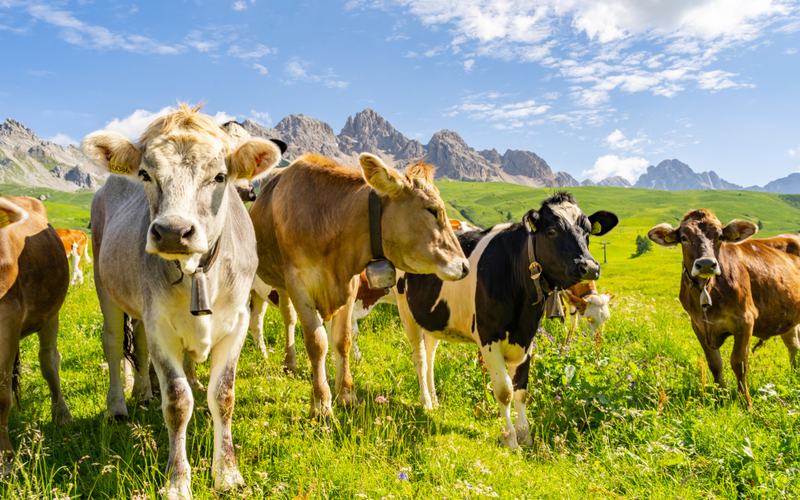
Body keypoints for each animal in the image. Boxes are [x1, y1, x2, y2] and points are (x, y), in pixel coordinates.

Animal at [0, 196, 71, 474]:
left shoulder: (7, 321)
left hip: (51, 315)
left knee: (49, 360)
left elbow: (2, 395)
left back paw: (62, 414)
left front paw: (6, 461)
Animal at [83, 104, 283, 498]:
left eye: (220, 176)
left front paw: (228, 474)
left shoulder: (235, 324)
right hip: (104, 285)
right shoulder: (162, 327)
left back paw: (144, 392)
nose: (173, 231)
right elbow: (177, 401)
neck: (197, 273)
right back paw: (118, 406)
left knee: (139, 345)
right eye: (145, 173)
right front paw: (177, 481)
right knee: (113, 343)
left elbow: (223, 396)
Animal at [250, 153, 469, 418]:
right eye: (433, 210)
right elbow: (317, 342)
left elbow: (342, 340)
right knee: (274, 320)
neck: (327, 217)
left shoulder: (348, 285)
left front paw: (346, 394)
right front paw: (322, 403)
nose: (465, 266)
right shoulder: (299, 284)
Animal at [395, 192, 618, 448]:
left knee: (431, 353)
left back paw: (434, 399)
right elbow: (505, 391)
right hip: (406, 312)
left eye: (588, 231)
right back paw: (426, 403)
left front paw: (526, 435)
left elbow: (521, 390)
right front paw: (511, 440)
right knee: (420, 358)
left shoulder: (527, 338)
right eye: (552, 231)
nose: (589, 266)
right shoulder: (488, 338)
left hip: (434, 318)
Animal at [648, 209, 800, 407]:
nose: (706, 263)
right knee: (793, 346)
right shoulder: (698, 325)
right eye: (684, 237)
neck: (707, 289)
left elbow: (738, 362)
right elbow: (714, 363)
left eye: (720, 236)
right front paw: (720, 397)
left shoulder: (745, 320)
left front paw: (746, 402)